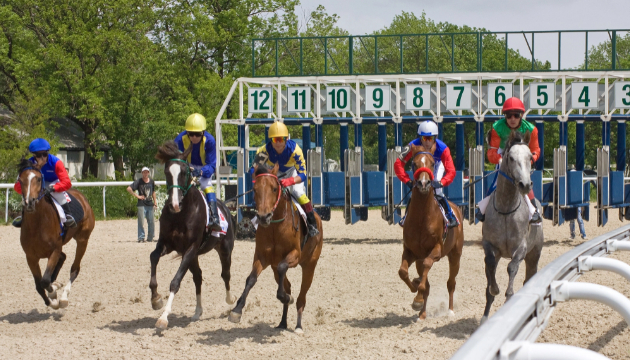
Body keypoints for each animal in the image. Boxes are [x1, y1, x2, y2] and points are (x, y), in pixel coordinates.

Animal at [14, 158, 94, 310]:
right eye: (20, 180)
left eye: (39, 179)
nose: (29, 203)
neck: (37, 224)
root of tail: (82, 197)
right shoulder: (31, 257)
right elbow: (39, 284)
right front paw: (51, 299)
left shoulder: (54, 250)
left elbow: (45, 280)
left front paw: (54, 296)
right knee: (63, 258)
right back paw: (56, 285)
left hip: (83, 239)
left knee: (75, 268)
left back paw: (64, 297)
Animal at [151, 141, 237, 330]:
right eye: (167, 172)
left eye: (185, 172)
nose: (174, 204)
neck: (181, 214)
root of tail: (225, 207)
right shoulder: (168, 244)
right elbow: (153, 257)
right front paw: (155, 298)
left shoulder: (190, 248)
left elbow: (175, 281)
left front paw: (164, 317)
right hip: (194, 256)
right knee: (198, 277)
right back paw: (198, 312)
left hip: (224, 249)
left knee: (225, 274)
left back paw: (230, 300)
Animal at [228, 163, 326, 334]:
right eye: (255, 189)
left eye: (274, 188)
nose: (263, 217)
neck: (275, 226)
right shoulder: (262, 257)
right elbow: (251, 279)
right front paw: (237, 310)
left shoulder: (294, 256)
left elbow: (283, 277)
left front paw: (286, 297)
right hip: (274, 269)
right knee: (287, 285)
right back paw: (282, 322)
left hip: (309, 265)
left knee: (301, 295)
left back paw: (298, 325)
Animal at [400, 143, 464, 320]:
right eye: (414, 164)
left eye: (432, 163)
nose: (423, 183)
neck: (422, 217)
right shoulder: (411, 251)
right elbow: (403, 272)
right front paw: (416, 292)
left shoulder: (436, 249)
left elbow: (428, 265)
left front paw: (418, 296)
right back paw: (422, 313)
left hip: (455, 255)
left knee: (451, 283)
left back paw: (450, 311)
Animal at [482, 129, 544, 324]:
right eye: (510, 158)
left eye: (530, 157)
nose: (525, 184)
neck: (506, 209)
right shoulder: (489, 245)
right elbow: (490, 264)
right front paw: (494, 289)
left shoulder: (521, 247)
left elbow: (512, 267)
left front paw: (509, 296)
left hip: (534, 254)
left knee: (529, 275)